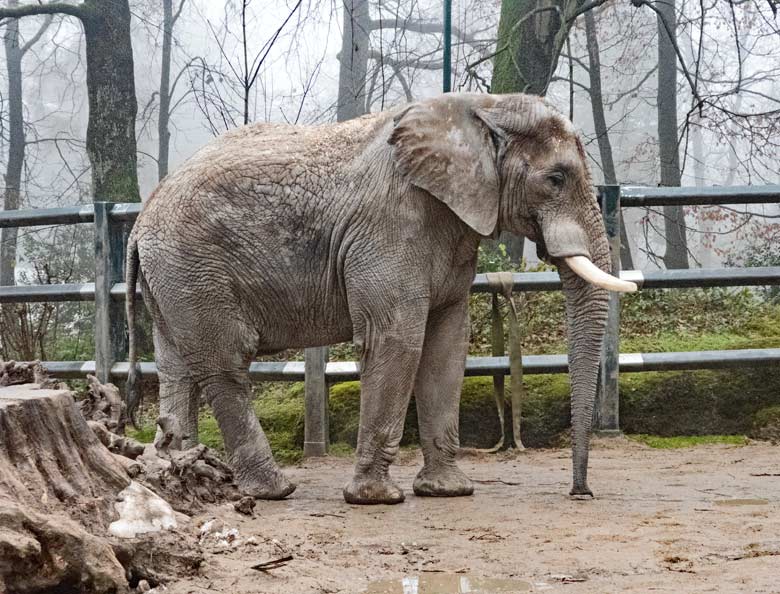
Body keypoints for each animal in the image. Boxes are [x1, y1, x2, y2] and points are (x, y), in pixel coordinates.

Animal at [125, 92, 636, 504]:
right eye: (556, 179)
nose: (580, 493)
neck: (481, 105)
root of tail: (141, 219)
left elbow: (447, 347)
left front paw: (448, 491)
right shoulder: (389, 226)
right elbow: (397, 341)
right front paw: (375, 499)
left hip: (173, 278)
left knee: (177, 370)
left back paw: (182, 476)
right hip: (193, 267)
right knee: (225, 363)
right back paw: (274, 490)